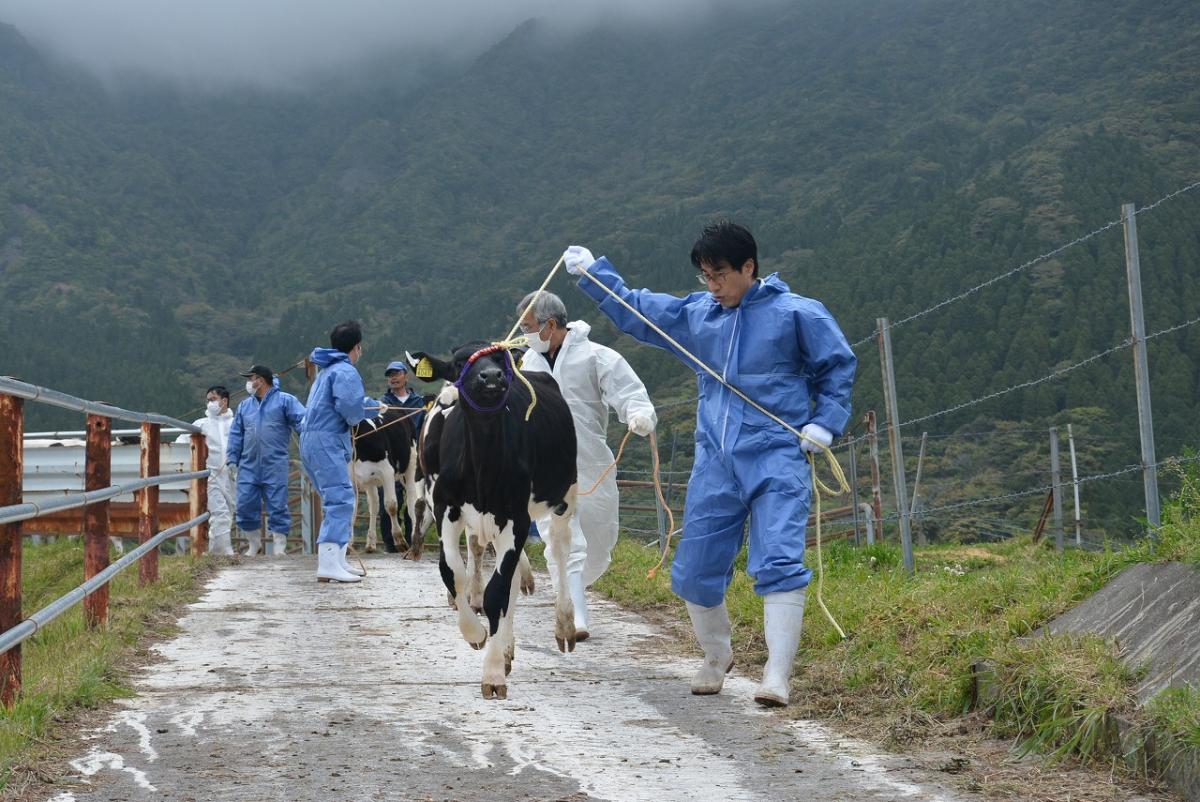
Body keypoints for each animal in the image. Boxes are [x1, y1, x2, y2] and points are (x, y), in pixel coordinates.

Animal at [350, 408, 412, 552]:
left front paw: (400, 540)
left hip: (410, 466)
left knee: (414, 500)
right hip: (369, 481)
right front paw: (348, 544)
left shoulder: (387, 471)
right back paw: (371, 543)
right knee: (374, 505)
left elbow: (391, 506)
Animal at [408, 340, 580, 696]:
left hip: (565, 494)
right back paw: (507, 647)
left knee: (559, 548)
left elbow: (496, 592)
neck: (483, 469)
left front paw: (492, 673)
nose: (491, 376)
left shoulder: (516, 516)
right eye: (459, 363)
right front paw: (475, 633)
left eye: (502, 359)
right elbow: (453, 573)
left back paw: (565, 625)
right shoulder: (446, 507)